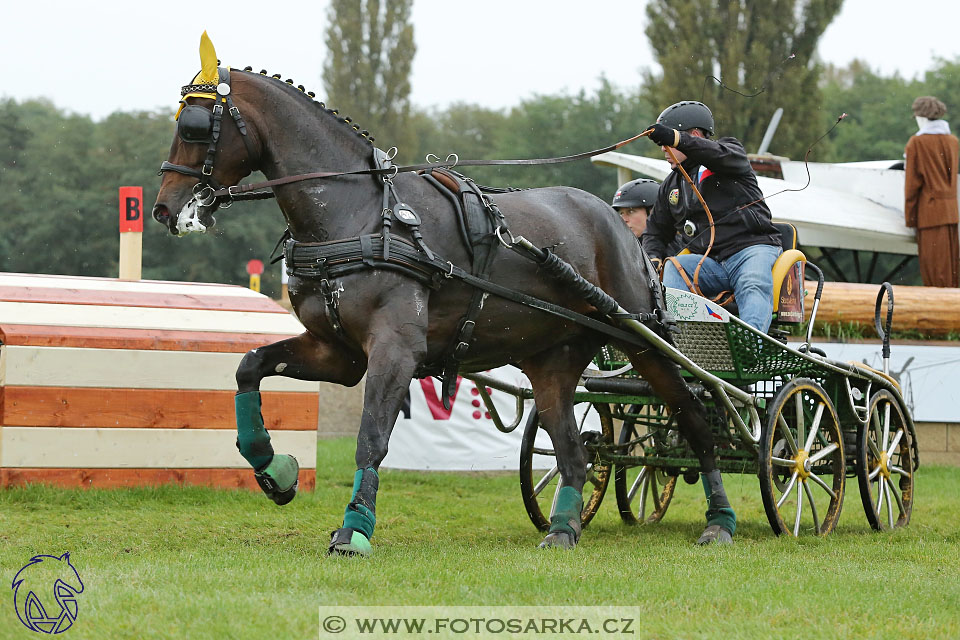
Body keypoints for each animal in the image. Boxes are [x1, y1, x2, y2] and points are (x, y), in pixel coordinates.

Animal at [152, 36, 736, 556]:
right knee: (573, 454)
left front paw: (354, 528)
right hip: (553, 361)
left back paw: (720, 520)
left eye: (193, 127)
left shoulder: (395, 349)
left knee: (696, 419)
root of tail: (617, 227)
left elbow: (371, 435)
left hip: (646, 343)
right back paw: (563, 528)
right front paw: (274, 469)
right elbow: (249, 366)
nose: (164, 208)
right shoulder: (338, 353)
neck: (359, 214)